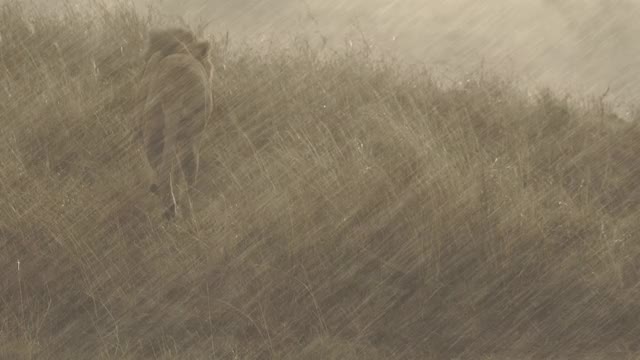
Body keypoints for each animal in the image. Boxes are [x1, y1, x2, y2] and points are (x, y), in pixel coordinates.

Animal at [135, 27, 215, 219]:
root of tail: (175, 89)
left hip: (155, 129)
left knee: (165, 166)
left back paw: (170, 206)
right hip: (191, 130)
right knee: (188, 166)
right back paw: (185, 208)